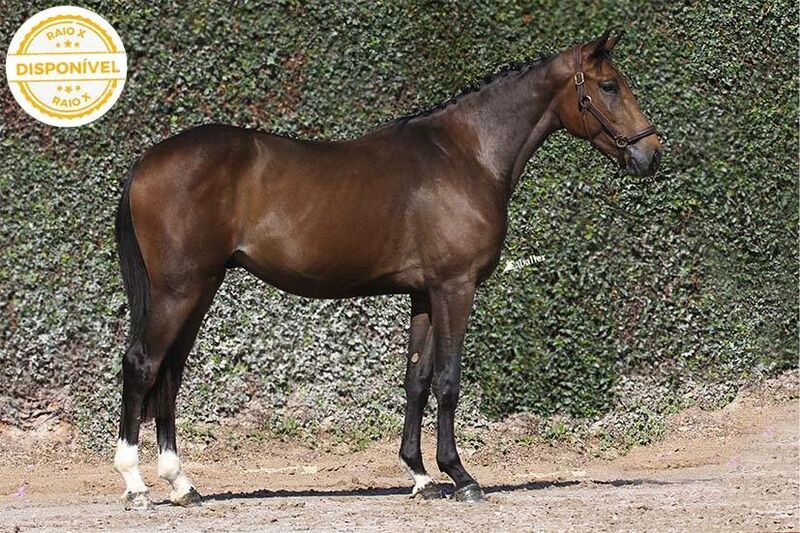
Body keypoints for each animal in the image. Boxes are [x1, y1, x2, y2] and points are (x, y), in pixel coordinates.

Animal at [112, 31, 664, 510]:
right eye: (609, 86)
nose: (651, 152)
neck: (466, 154)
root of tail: (146, 162)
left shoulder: (423, 294)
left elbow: (416, 380)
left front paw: (420, 476)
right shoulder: (455, 287)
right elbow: (447, 380)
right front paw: (461, 477)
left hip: (199, 289)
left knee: (170, 373)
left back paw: (182, 484)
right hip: (178, 291)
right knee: (142, 364)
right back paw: (136, 486)